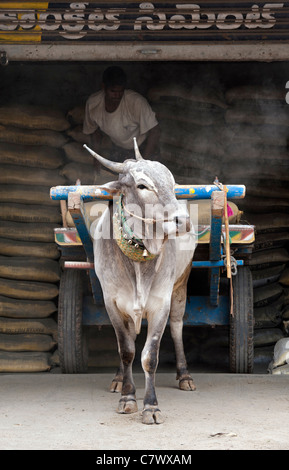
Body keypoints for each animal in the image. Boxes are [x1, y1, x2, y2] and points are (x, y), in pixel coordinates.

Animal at [83, 140, 196, 426]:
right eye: (143, 186)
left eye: (172, 183)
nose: (184, 221)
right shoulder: (112, 302)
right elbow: (126, 350)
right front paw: (127, 397)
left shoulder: (160, 304)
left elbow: (149, 356)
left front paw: (151, 406)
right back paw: (117, 378)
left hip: (181, 286)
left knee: (177, 328)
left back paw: (184, 375)